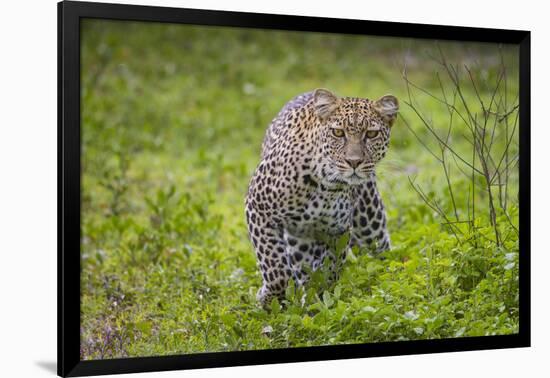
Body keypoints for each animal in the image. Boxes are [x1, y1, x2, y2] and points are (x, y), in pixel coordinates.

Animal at [246, 88, 402, 308]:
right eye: (338, 132)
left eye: (371, 134)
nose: (354, 162)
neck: (326, 184)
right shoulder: (258, 209)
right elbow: (275, 268)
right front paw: (268, 298)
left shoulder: (337, 231)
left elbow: (328, 270)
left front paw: (318, 303)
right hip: (299, 237)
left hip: (370, 225)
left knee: (381, 252)